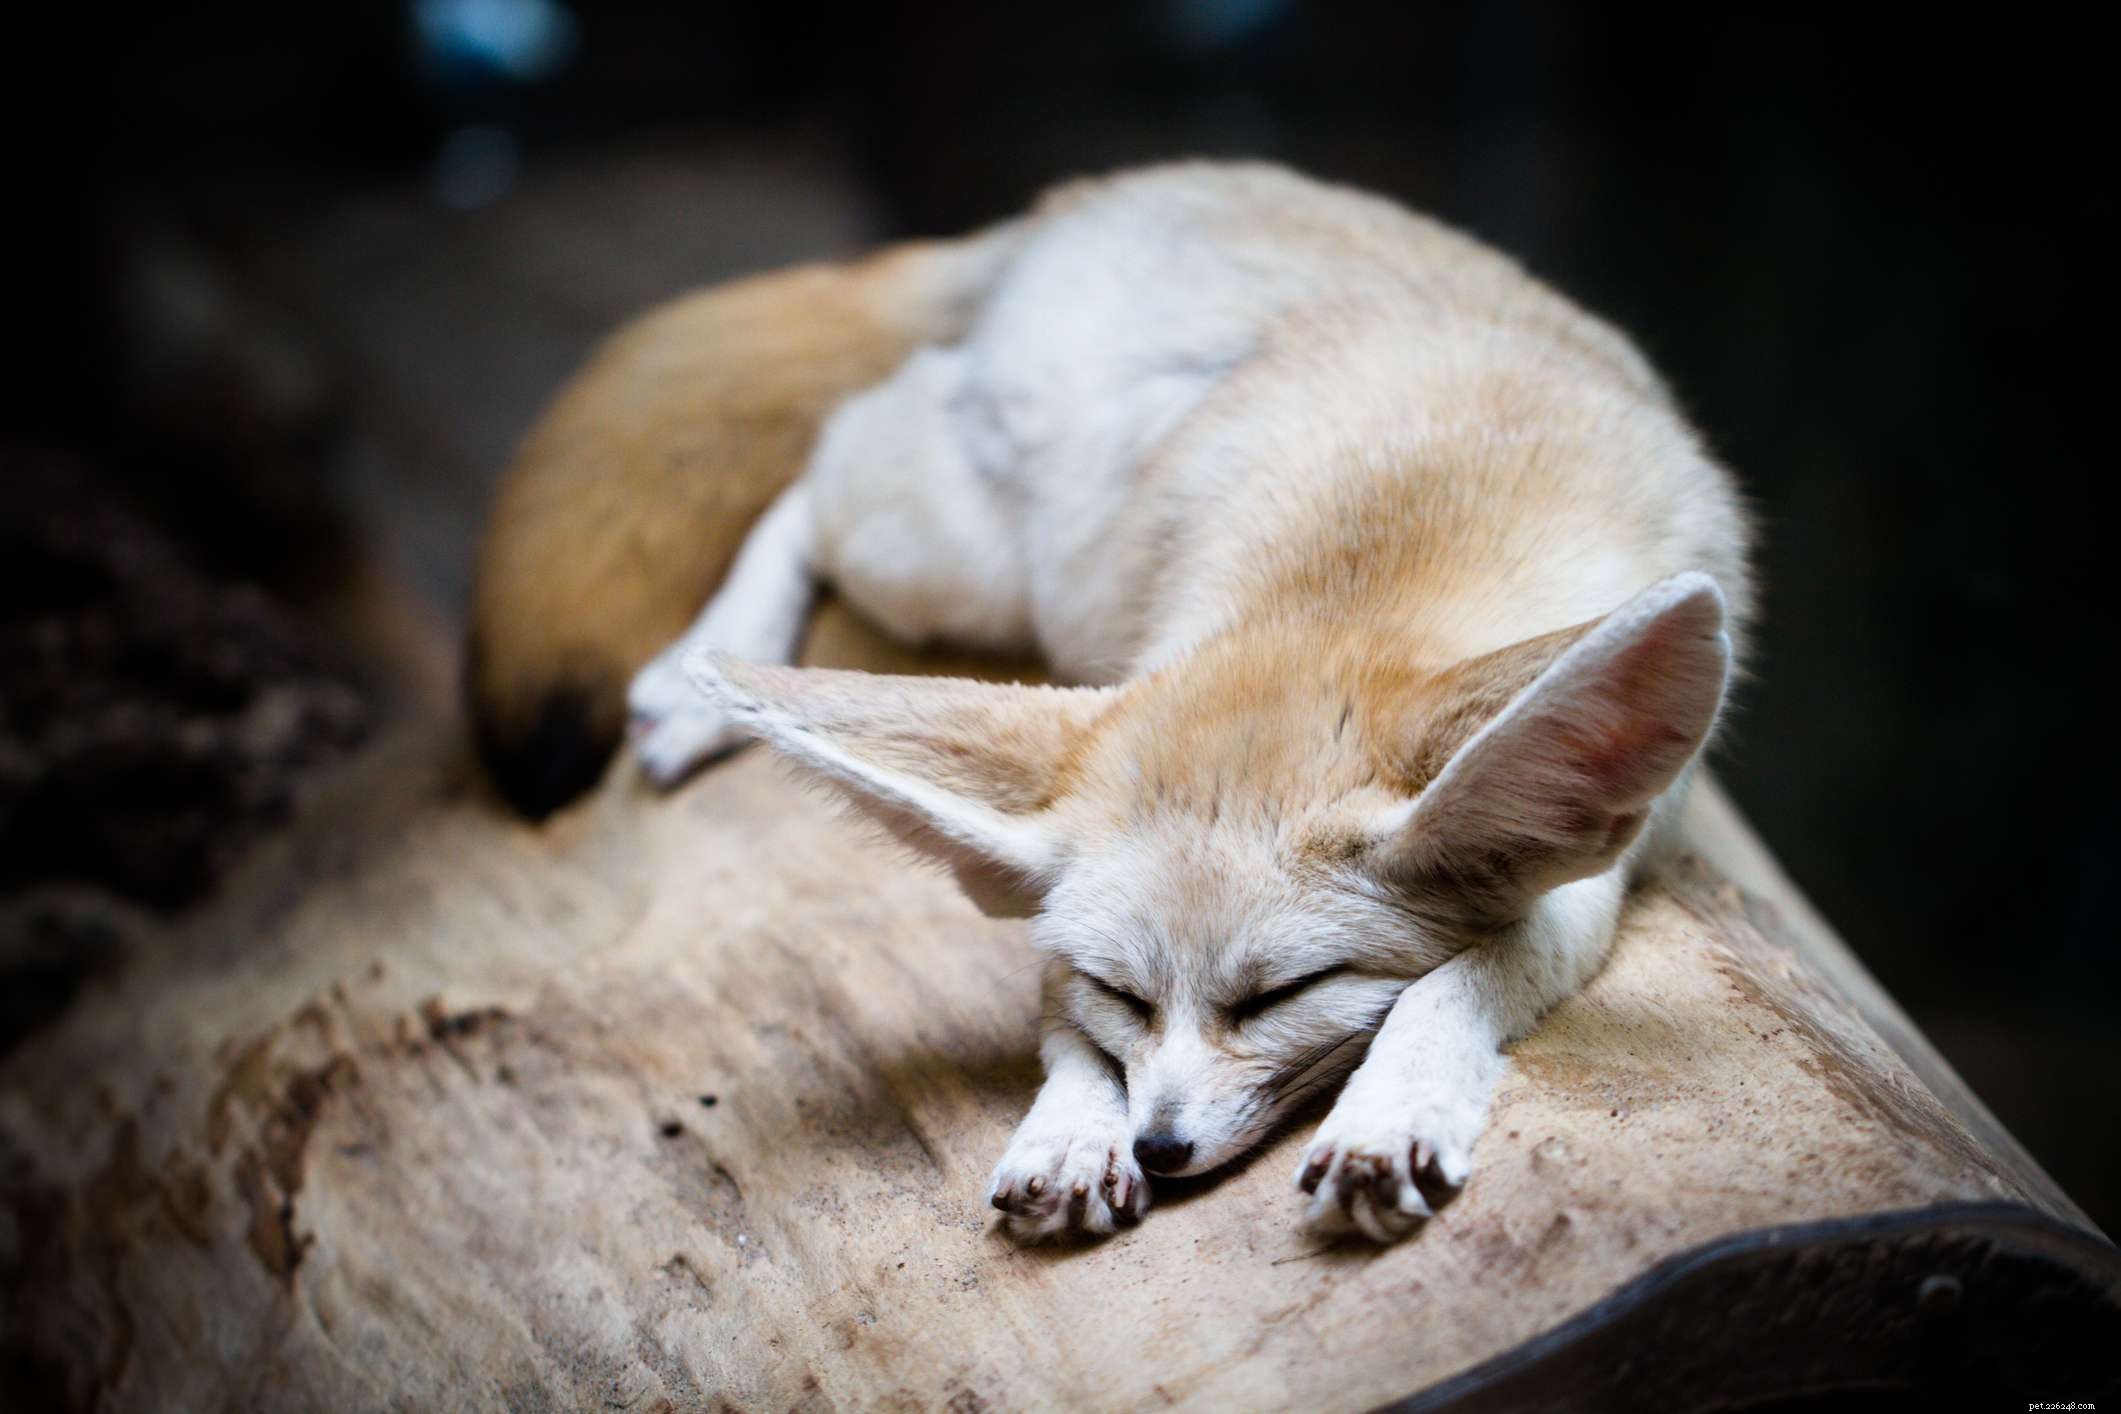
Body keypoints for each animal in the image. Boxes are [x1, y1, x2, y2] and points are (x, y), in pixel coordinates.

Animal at [468, 162, 1752, 1244]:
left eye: (1283, 994)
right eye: (1127, 992)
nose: (1163, 1143)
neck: (1347, 596)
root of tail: (1092, 194)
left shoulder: (1592, 880)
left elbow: (1452, 981)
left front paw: (1389, 1113)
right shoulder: (1061, 926)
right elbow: (1066, 1031)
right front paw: (1074, 1130)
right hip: (953, 561)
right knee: (824, 465)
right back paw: (708, 662)